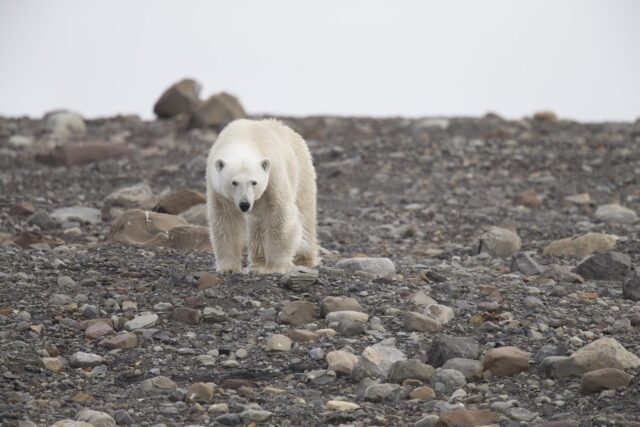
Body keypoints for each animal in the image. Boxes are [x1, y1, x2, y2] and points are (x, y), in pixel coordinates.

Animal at [205, 118, 319, 274]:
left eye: (254, 182)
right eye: (234, 182)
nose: (245, 204)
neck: (243, 140)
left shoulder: (273, 178)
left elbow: (280, 215)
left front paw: (275, 267)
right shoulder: (218, 189)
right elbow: (226, 219)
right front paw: (228, 268)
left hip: (302, 170)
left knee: (305, 213)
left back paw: (305, 259)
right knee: (257, 225)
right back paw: (257, 263)